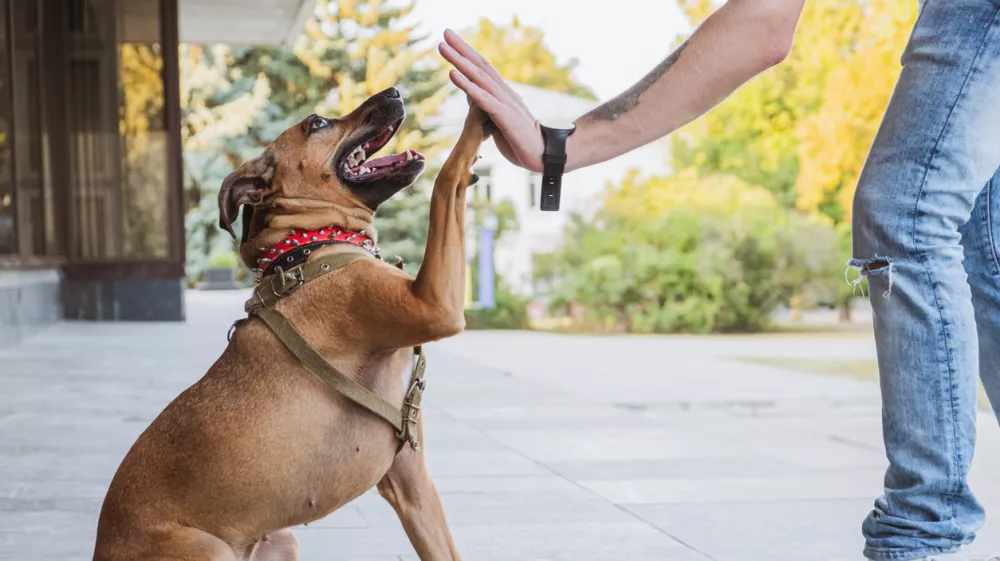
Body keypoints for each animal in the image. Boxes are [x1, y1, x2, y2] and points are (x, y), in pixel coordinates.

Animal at [94, 85, 492, 556]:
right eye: (316, 123)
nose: (395, 91)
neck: (310, 247)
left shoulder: (412, 483)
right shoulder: (434, 303)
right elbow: (446, 179)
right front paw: (479, 112)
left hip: (282, 540)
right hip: (210, 549)